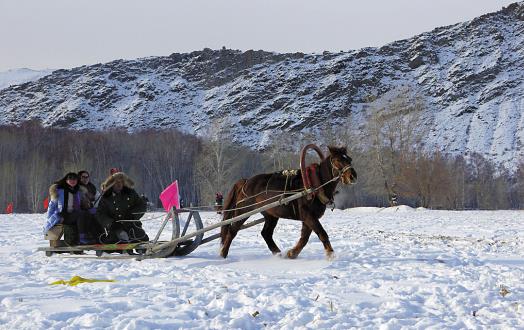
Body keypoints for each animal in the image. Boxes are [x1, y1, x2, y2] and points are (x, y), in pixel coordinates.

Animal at [219, 147, 358, 260]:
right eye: (338, 160)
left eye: (349, 159)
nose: (353, 176)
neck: (315, 184)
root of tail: (246, 181)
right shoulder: (308, 215)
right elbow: (322, 233)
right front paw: (330, 255)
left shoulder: (308, 218)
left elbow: (304, 238)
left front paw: (292, 253)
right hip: (243, 210)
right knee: (232, 230)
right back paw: (223, 254)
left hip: (271, 214)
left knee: (266, 233)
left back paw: (278, 253)